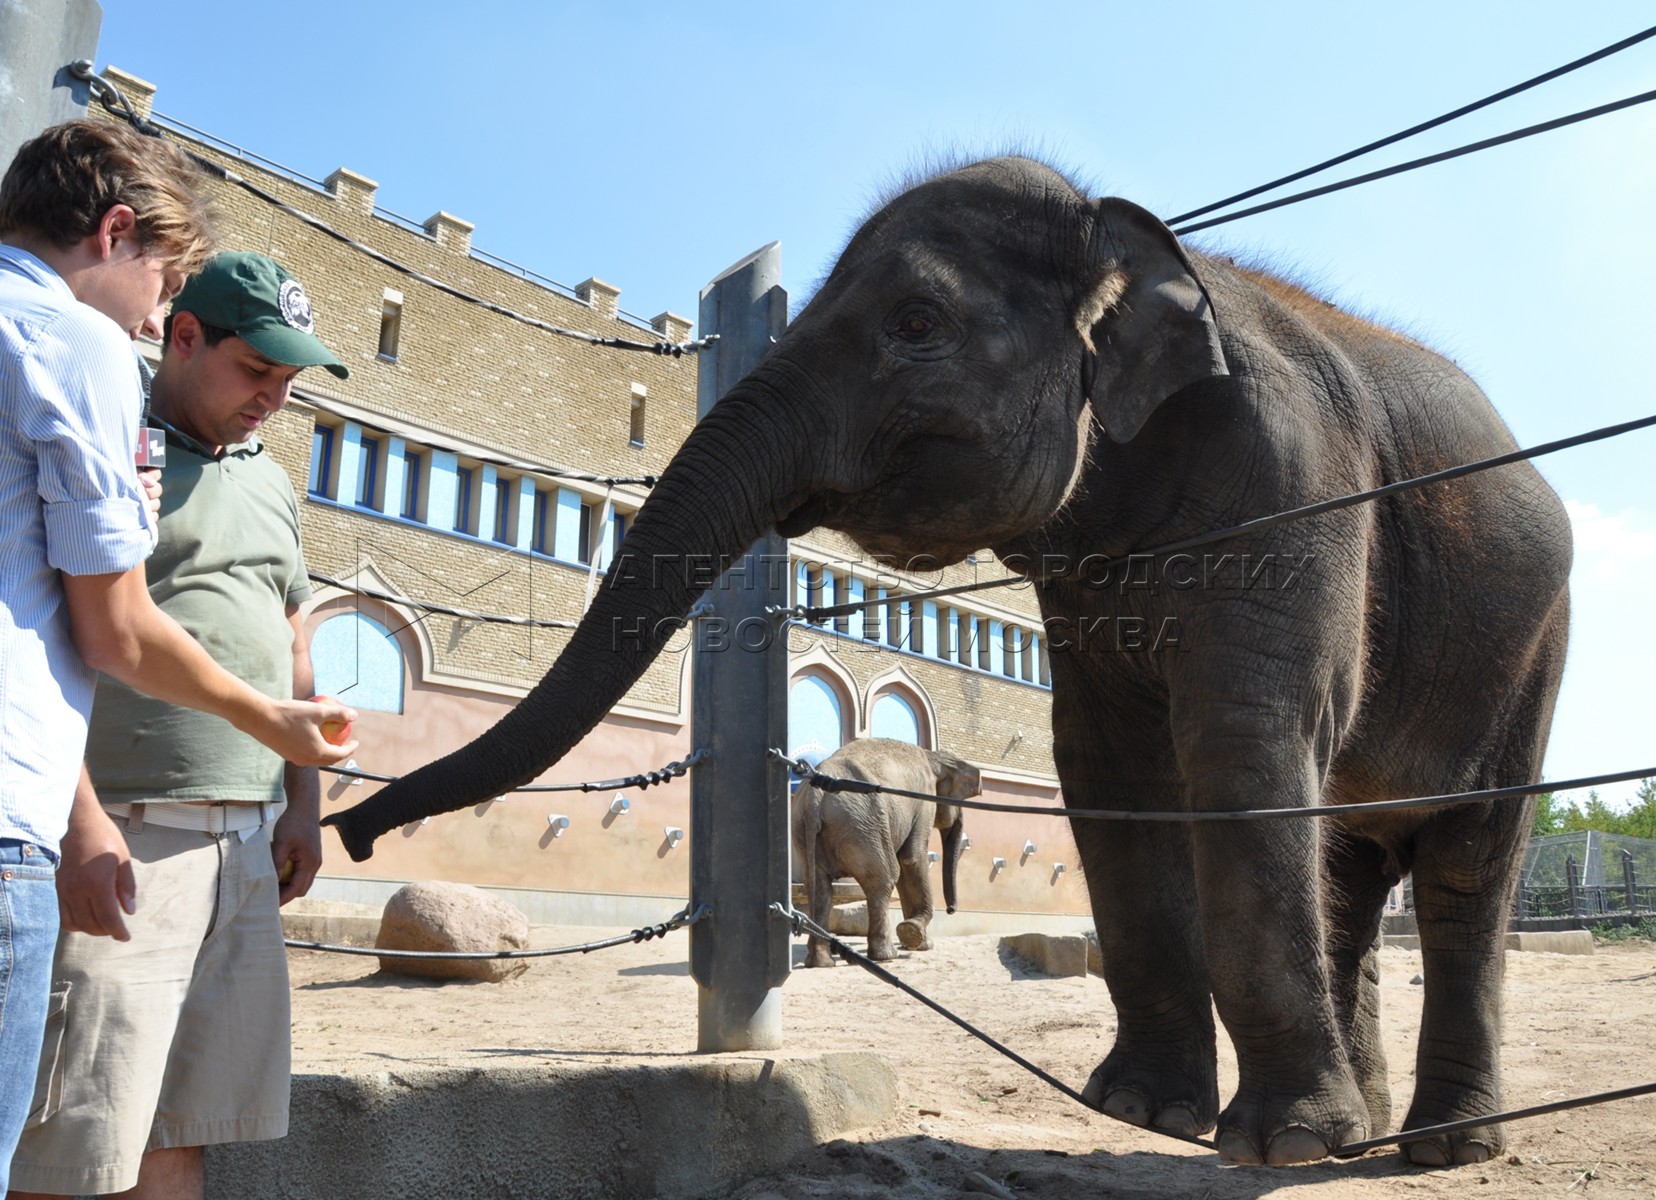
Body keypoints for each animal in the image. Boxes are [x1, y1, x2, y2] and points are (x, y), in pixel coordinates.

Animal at [791, 734, 980, 966]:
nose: (951, 910)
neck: (932, 756)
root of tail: (814, 798)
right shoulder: (923, 801)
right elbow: (911, 858)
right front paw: (916, 936)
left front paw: (918, 941)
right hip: (864, 824)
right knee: (884, 878)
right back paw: (886, 956)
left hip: (805, 827)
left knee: (819, 887)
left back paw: (821, 962)